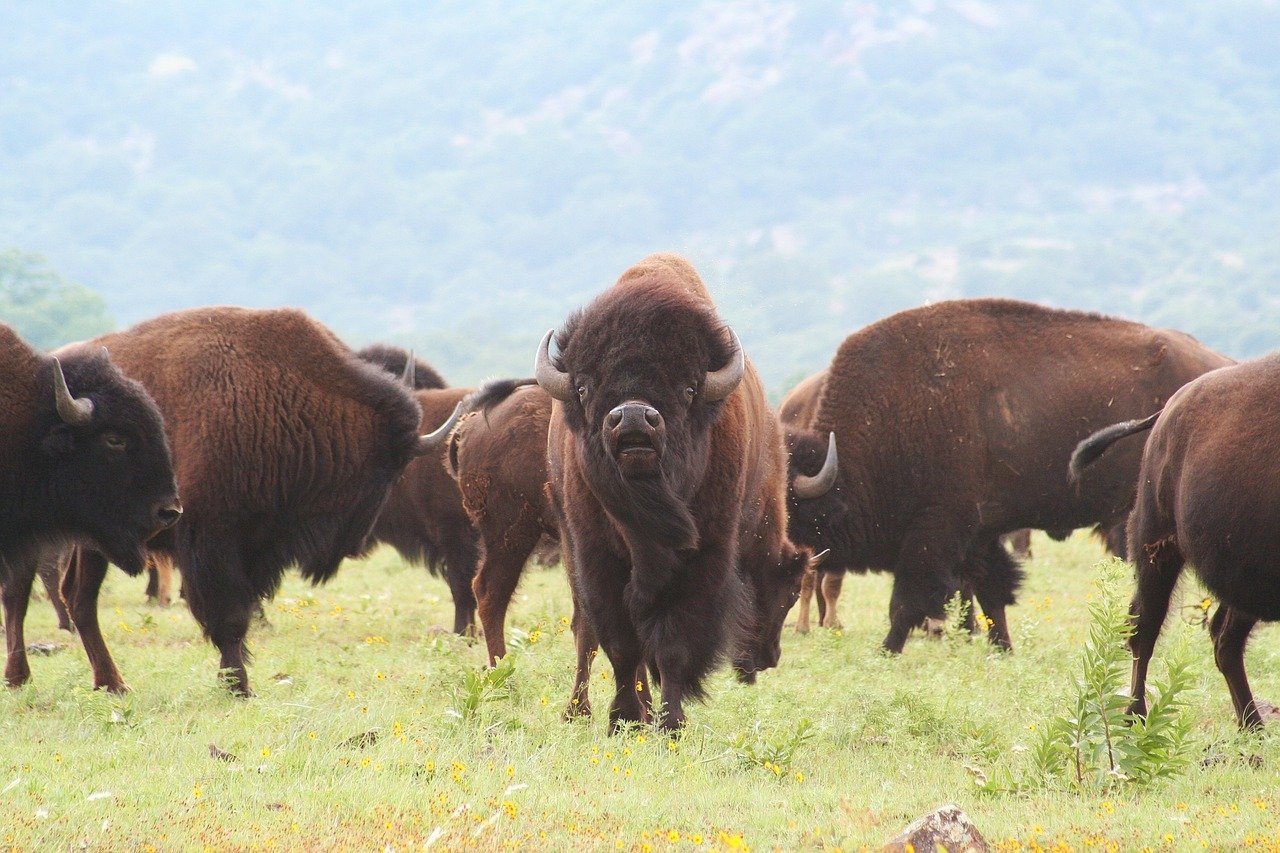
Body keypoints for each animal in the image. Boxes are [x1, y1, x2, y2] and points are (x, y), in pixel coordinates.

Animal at [56, 306, 440, 691]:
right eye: (387, 472)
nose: (356, 545)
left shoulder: (257, 546)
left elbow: (243, 613)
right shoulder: (212, 541)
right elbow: (230, 617)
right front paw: (238, 686)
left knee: (76, 596)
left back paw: (110, 683)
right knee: (81, 597)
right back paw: (113, 683)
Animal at [535, 252, 814, 732]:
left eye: (688, 388)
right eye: (585, 386)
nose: (632, 417)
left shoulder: (702, 559)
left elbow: (671, 646)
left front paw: (670, 723)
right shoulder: (597, 558)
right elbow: (621, 644)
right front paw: (623, 718)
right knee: (586, 632)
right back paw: (580, 710)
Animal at [778, 302, 1228, 653]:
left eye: (790, 509)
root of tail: (1220, 365)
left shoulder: (934, 530)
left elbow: (908, 600)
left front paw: (888, 650)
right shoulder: (978, 534)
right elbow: (990, 593)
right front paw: (1002, 648)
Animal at [1070, 356, 1280, 727]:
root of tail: (1168, 410)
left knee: (1224, 640)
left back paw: (1252, 726)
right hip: (1155, 549)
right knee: (1145, 629)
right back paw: (1135, 716)